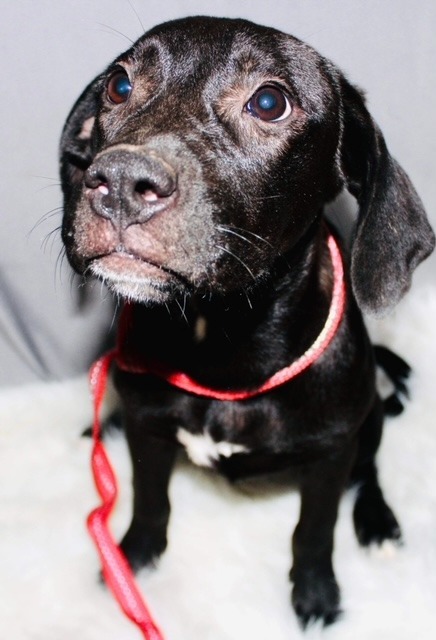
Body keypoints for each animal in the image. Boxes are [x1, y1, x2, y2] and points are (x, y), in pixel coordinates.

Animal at [59, 17, 434, 628]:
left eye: (269, 101)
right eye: (119, 85)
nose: (118, 182)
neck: (219, 342)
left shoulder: (331, 454)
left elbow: (314, 531)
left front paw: (317, 595)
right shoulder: (148, 429)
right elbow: (150, 499)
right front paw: (132, 560)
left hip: (370, 418)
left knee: (371, 468)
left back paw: (377, 522)